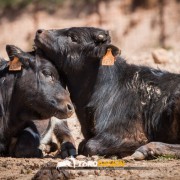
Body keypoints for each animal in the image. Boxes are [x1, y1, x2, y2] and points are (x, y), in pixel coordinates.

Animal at [34, 27, 180, 160]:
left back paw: (147, 149)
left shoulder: (131, 133)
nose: (39, 31)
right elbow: (82, 144)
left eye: (74, 37)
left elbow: (89, 145)